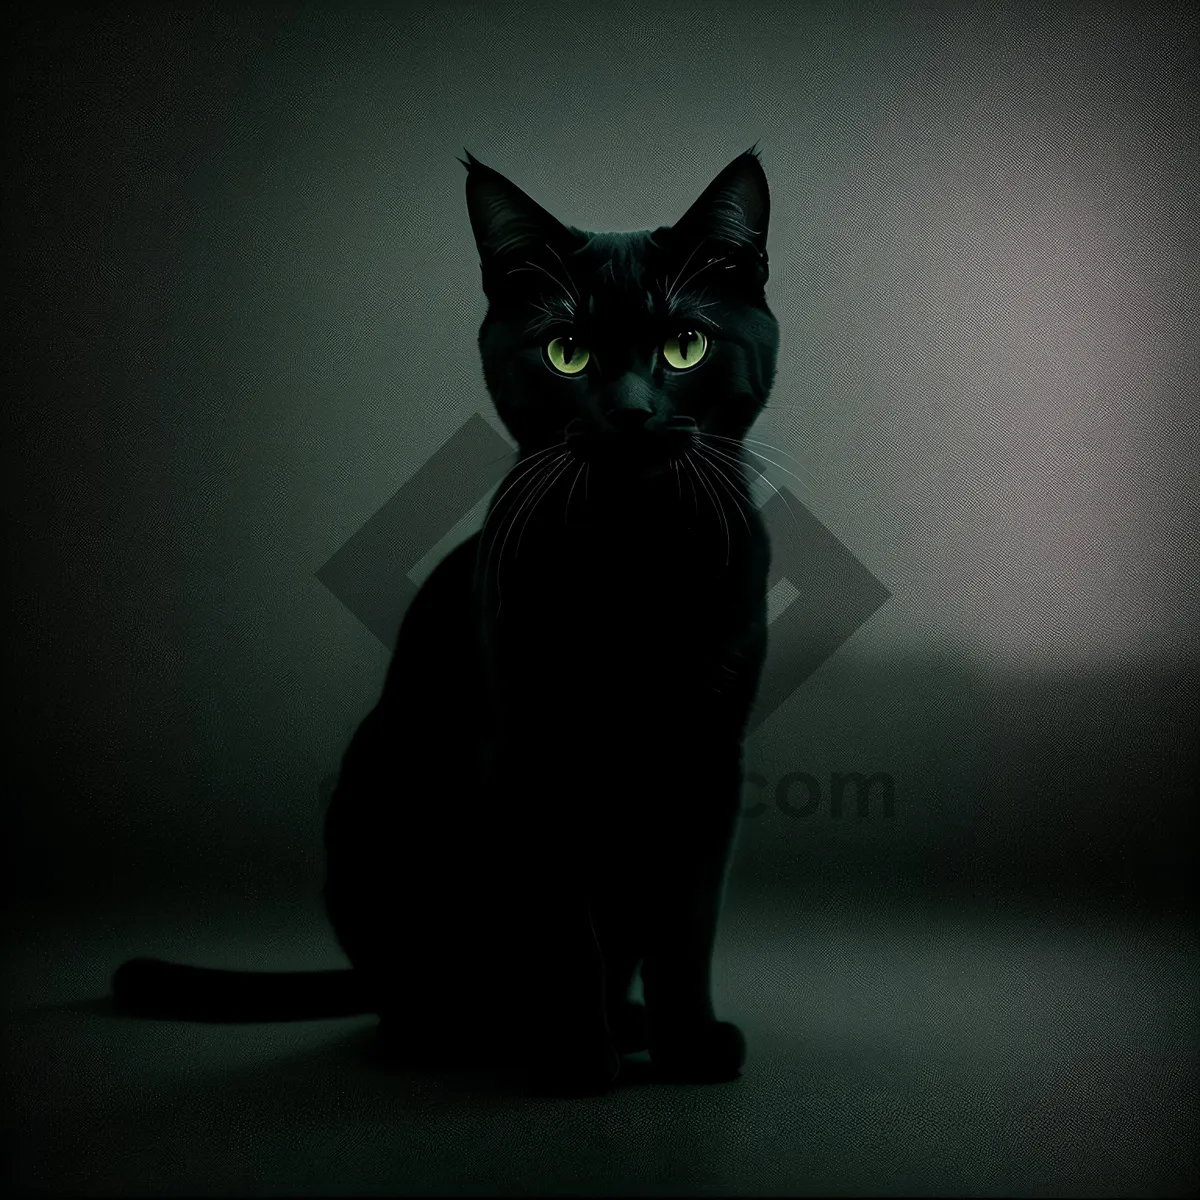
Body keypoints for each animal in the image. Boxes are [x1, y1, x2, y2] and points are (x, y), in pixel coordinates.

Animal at [112, 150, 777, 1099]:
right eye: (567, 354)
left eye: (685, 346)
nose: (632, 410)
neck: (634, 558)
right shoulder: (529, 754)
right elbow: (564, 931)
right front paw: (578, 1063)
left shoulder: (708, 757)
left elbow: (686, 924)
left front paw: (690, 1047)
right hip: (373, 800)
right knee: (418, 1001)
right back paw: (487, 1033)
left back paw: (632, 1024)